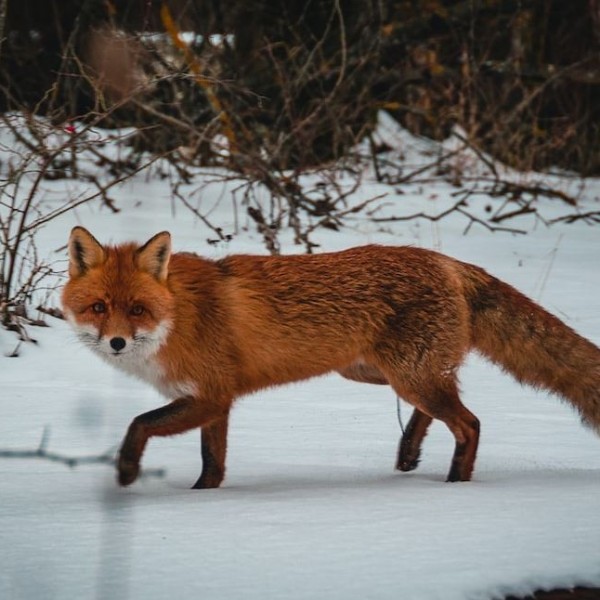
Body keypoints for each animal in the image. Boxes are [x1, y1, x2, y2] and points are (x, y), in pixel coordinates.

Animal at [62, 227, 600, 490]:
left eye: (137, 309)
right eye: (98, 308)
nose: (116, 343)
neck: (178, 315)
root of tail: (447, 262)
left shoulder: (211, 395)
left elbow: (138, 424)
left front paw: (126, 472)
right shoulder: (214, 403)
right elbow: (212, 464)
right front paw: (204, 497)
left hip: (407, 375)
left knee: (469, 424)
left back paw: (454, 485)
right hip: (379, 373)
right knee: (442, 408)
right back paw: (409, 453)